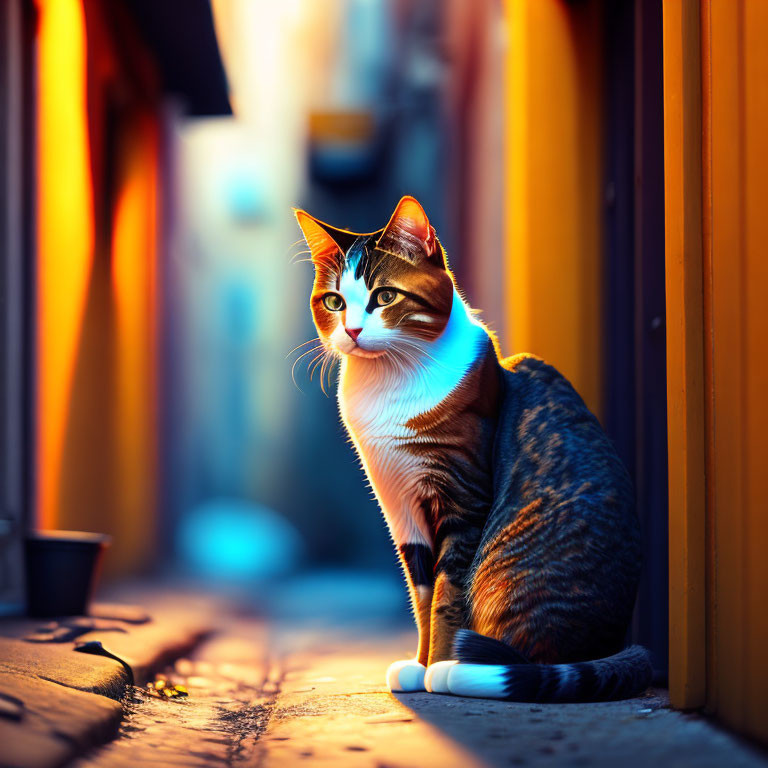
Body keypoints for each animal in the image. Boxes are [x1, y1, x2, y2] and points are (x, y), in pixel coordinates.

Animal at [292, 196, 648, 704]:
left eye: (385, 297)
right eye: (334, 302)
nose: (353, 330)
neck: (390, 382)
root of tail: (616, 640)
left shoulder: (464, 499)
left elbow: (449, 593)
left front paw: (438, 665)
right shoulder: (401, 509)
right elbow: (422, 592)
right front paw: (418, 663)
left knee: (529, 657)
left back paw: (463, 672)